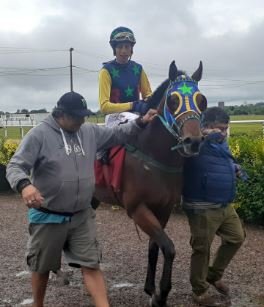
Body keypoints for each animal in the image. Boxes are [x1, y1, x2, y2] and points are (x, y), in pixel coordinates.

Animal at [94, 60, 207, 307]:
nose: (193, 141)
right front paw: (161, 294)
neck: (153, 156)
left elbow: (155, 247)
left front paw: (151, 290)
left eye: (202, 100)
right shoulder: (137, 209)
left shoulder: (163, 209)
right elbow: (169, 248)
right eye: (173, 100)